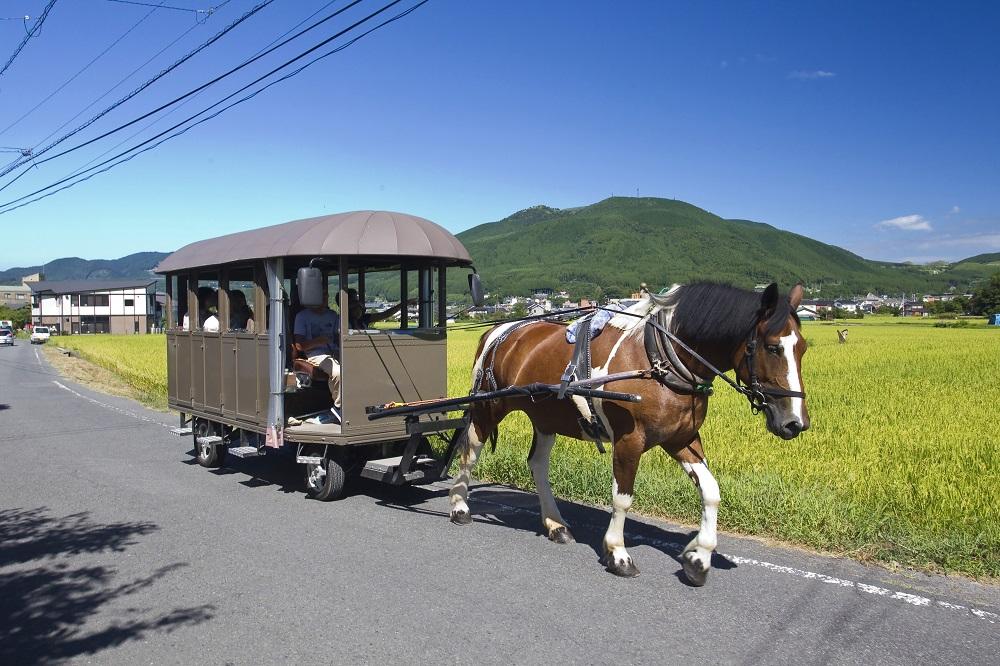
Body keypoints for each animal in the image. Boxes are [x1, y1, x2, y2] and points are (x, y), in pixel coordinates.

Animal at [450, 282, 808, 584]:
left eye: (803, 348)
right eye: (773, 348)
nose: (796, 422)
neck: (661, 360)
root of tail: (497, 329)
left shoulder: (682, 439)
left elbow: (711, 491)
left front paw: (699, 555)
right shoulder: (628, 440)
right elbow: (622, 498)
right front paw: (618, 553)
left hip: (545, 415)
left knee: (537, 464)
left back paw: (555, 524)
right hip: (488, 406)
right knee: (469, 452)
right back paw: (459, 506)